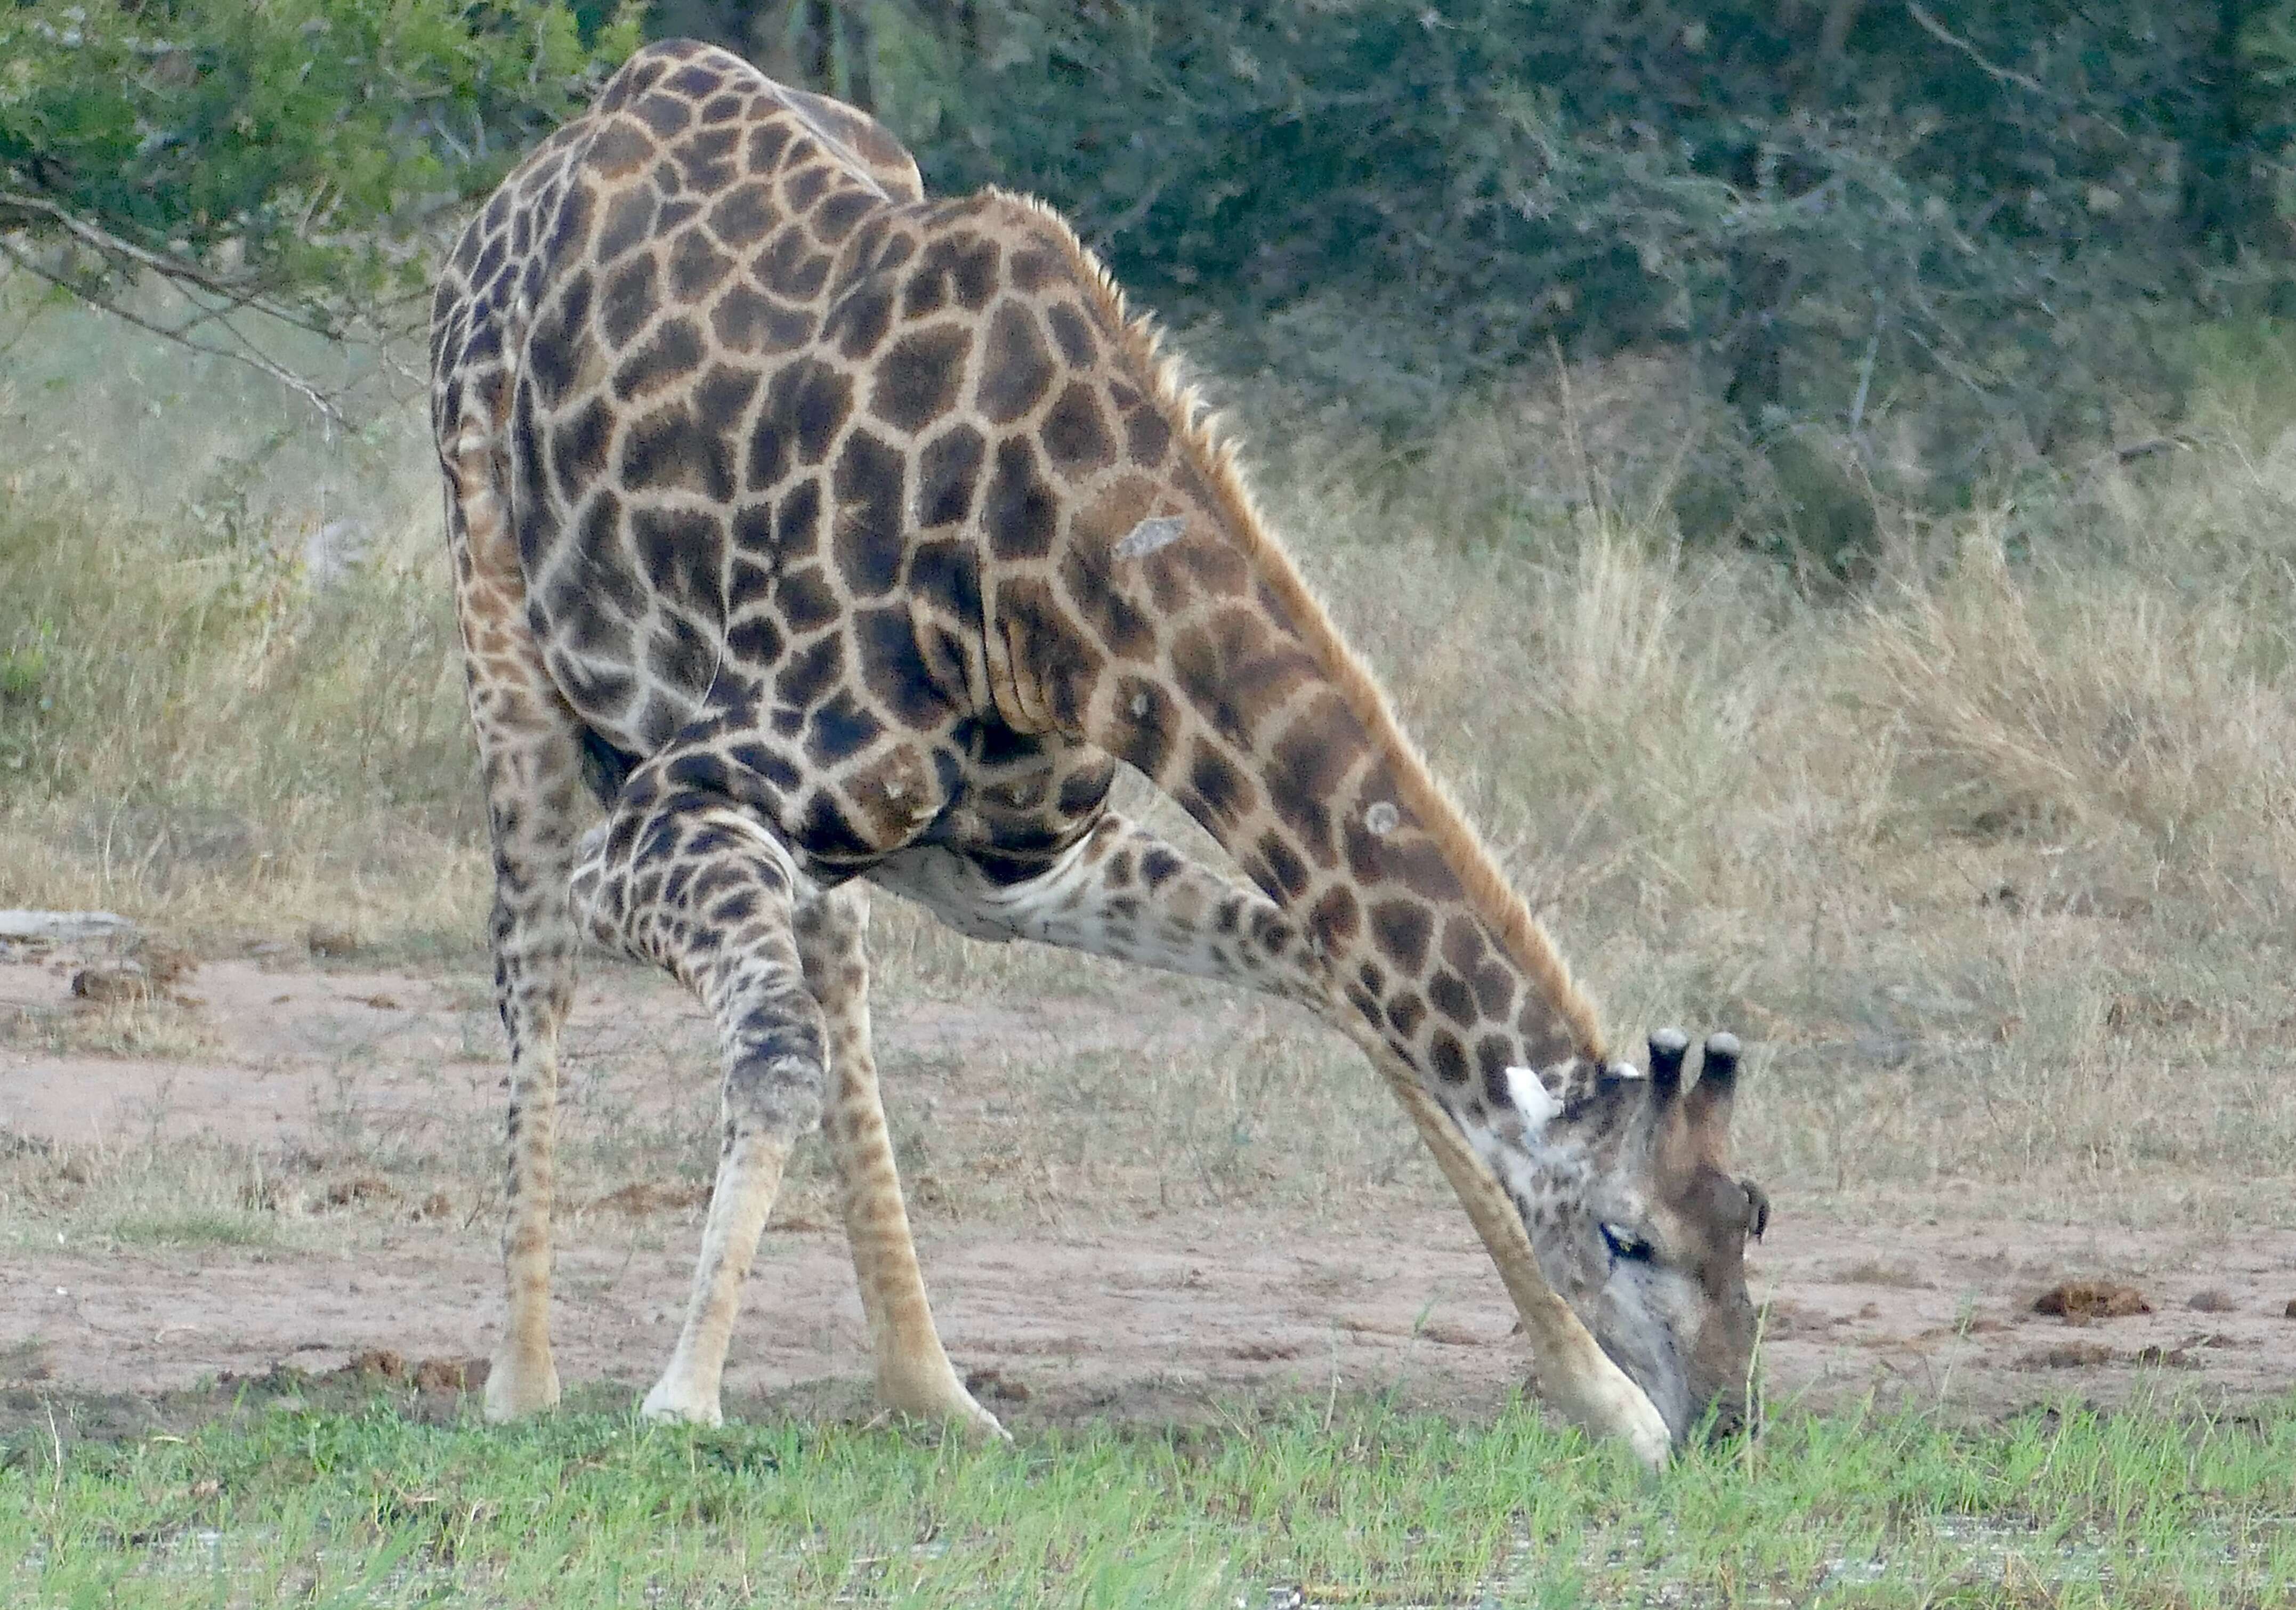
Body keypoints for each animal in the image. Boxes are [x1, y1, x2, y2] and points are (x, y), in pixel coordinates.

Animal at [431, 41, 1763, 1470]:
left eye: (1752, 1211)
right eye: (1626, 1235)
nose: (1728, 1417)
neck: (1057, 555)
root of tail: (573, 136)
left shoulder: (1011, 866)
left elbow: (1347, 988)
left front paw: (1600, 1398)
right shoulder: (661, 814)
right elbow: (768, 1049)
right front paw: (680, 1401)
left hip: (844, 839)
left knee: (832, 977)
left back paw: (930, 1385)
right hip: (500, 603)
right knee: (536, 951)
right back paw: (522, 1382)